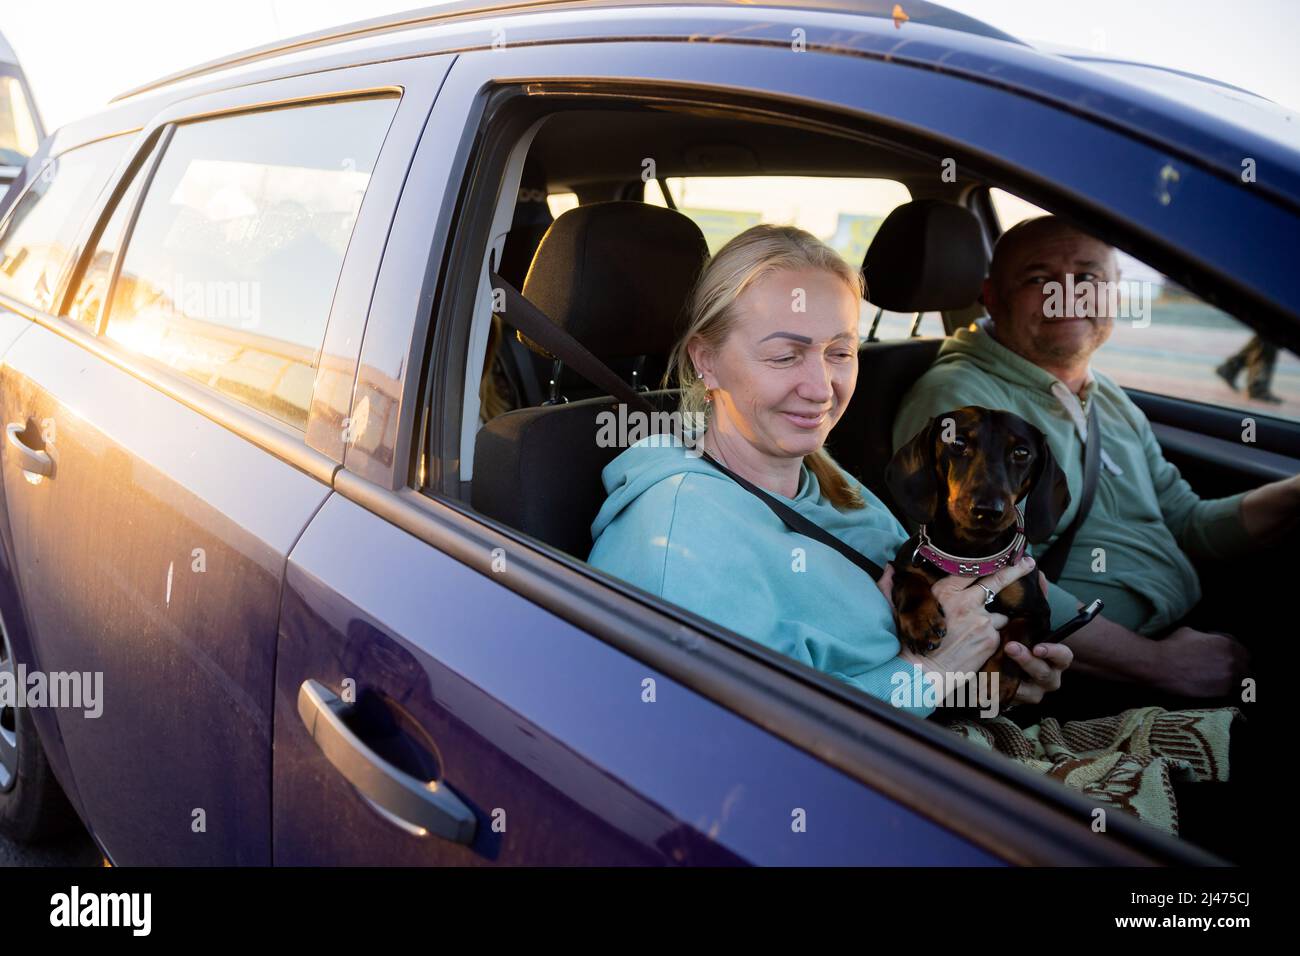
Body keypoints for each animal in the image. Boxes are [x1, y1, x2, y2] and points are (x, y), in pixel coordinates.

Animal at [889, 408, 1071, 707]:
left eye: (1021, 452)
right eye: (957, 442)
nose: (988, 510)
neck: (970, 556)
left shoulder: (1039, 613)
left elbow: (1016, 639)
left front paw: (996, 682)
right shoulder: (905, 564)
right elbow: (911, 582)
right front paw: (922, 622)